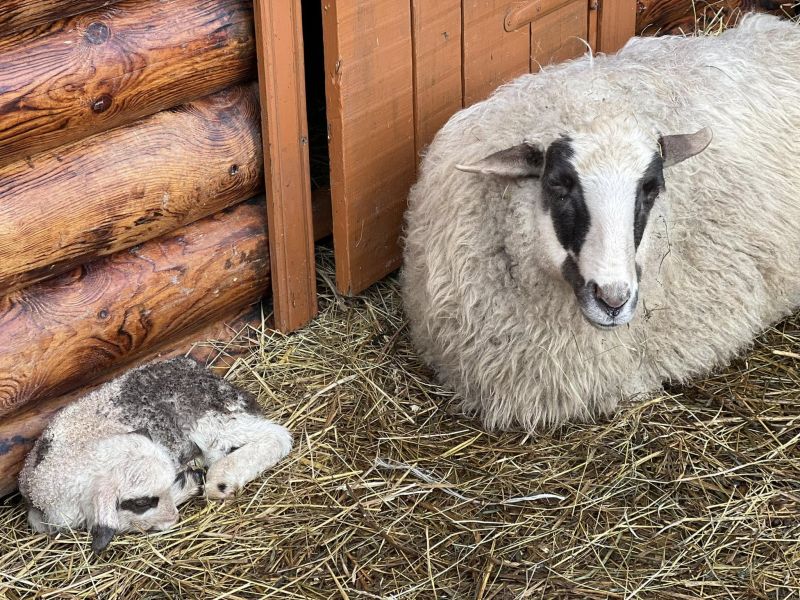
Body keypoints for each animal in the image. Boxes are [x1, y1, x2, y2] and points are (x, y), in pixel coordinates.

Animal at [18, 354, 292, 556]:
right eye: (141, 502)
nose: (174, 519)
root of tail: (196, 367)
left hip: (207, 419)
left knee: (277, 436)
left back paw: (221, 480)